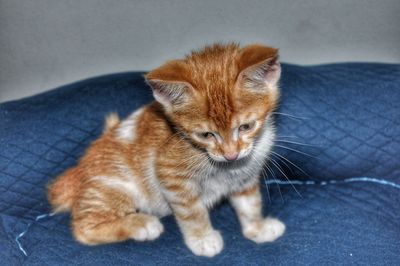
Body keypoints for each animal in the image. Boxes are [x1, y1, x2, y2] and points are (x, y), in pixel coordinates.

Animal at [47, 43, 284, 258]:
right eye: (206, 135)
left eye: (246, 126)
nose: (231, 154)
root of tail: (79, 171)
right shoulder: (171, 175)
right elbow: (192, 212)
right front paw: (203, 239)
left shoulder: (245, 177)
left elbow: (250, 204)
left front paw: (258, 228)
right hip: (113, 188)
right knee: (83, 228)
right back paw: (141, 224)